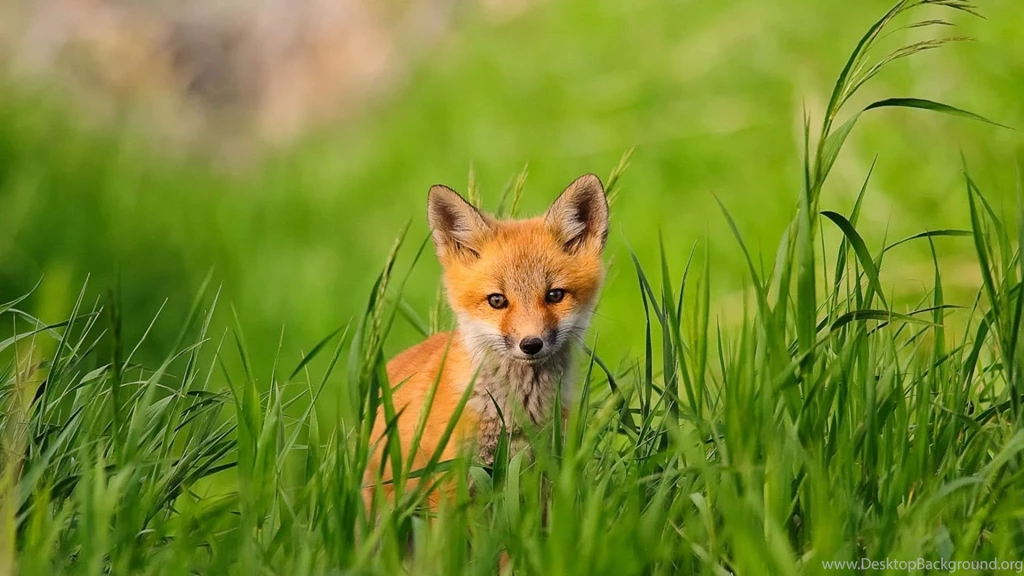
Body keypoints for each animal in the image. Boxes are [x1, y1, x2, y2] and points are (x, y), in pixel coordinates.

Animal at [363, 173, 609, 510]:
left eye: (555, 295)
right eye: (497, 300)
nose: (530, 344)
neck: (517, 414)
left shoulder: (546, 474)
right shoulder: (451, 482)